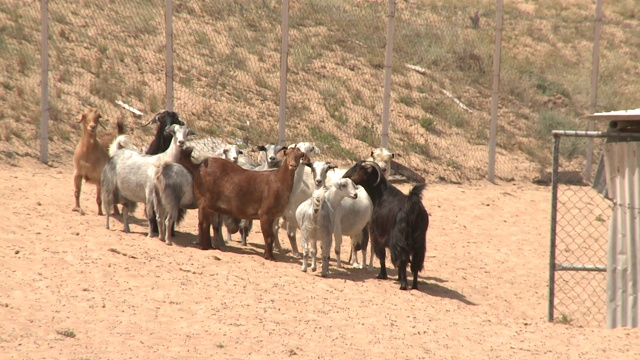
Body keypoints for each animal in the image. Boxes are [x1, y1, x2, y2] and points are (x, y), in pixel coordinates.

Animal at [176, 145, 308, 260]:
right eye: (288, 154)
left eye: (300, 155)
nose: (293, 165)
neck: (278, 181)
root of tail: (199, 167)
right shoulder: (265, 214)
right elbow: (268, 236)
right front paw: (269, 257)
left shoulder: (273, 216)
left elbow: (271, 235)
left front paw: (269, 255)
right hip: (204, 202)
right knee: (203, 224)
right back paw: (205, 247)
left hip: (210, 206)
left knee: (206, 224)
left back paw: (210, 246)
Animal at [342, 160, 428, 290]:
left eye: (359, 168)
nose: (346, 177)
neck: (381, 195)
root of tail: (413, 206)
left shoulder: (377, 234)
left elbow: (381, 254)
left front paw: (382, 275)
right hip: (419, 241)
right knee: (416, 262)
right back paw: (414, 285)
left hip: (400, 239)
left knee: (402, 259)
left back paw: (403, 285)